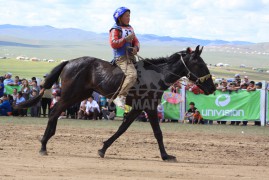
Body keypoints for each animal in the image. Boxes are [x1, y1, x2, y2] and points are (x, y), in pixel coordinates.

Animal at [15, 45, 215, 162]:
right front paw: (166, 156)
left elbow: (122, 128)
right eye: (200, 64)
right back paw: (43, 145)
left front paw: (103, 148)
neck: (156, 75)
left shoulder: (139, 108)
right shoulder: (149, 106)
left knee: (56, 111)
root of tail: (69, 62)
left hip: (78, 95)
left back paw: (46, 141)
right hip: (71, 94)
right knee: (55, 111)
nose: (212, 87)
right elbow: (157, 132)